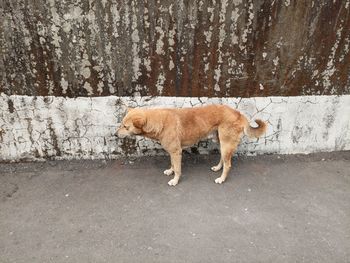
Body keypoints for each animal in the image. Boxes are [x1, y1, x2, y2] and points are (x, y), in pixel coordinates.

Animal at [116, 104, 266, 187]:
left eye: (125, 127)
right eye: (121, 124)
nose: (115, 134)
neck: (159, 122)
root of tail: (239, 113)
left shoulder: (176, 152)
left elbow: (178, 169)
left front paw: (175, 180)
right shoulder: (172, 152)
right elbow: (172, 164)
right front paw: (170, 171)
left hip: (226, 144)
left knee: (228, 164)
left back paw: (221, 179)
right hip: (221, 142)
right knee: (223, 159)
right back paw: (217, 168)